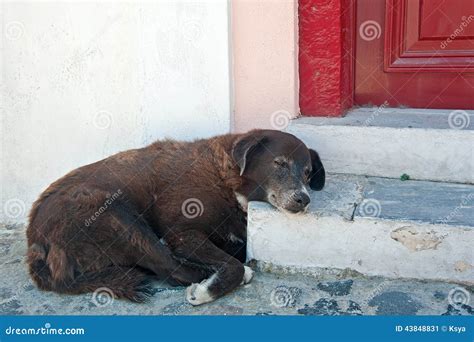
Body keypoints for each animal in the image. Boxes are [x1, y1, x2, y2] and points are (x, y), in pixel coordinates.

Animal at [26, 129, 326, 304]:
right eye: (280, 164)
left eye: (308, 173)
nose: (304, 199)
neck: (226, 179)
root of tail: (35, 243)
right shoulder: (182, 233)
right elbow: (233, 265)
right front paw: (206, 291)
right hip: (115, 214)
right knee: (170, 269)